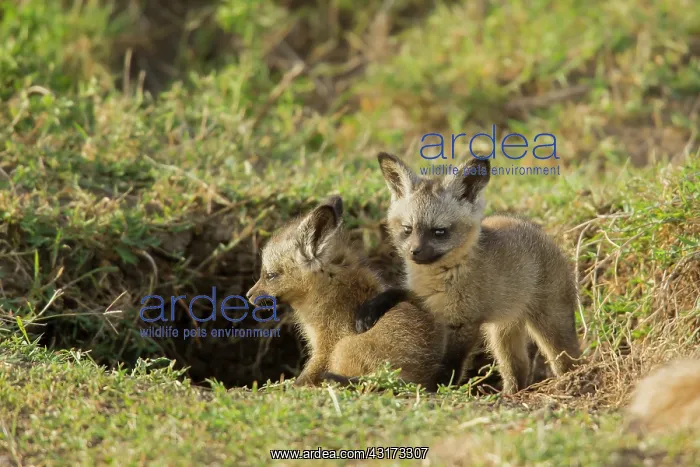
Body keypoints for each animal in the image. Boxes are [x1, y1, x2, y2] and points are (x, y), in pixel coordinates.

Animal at [371, 152, 581, 394]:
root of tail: (545, 237)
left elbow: (450, 365)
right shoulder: (426, 301)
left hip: (551, 324)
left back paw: (574, 381)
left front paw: (437, 389)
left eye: (439, 231)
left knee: (568, 359)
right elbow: (397, 292)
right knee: (518, 367)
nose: (414, 252)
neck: (441, 278)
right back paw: (510, 394)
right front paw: (371, 309)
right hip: (502, 333)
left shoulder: (465, 322)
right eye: (407, 229)